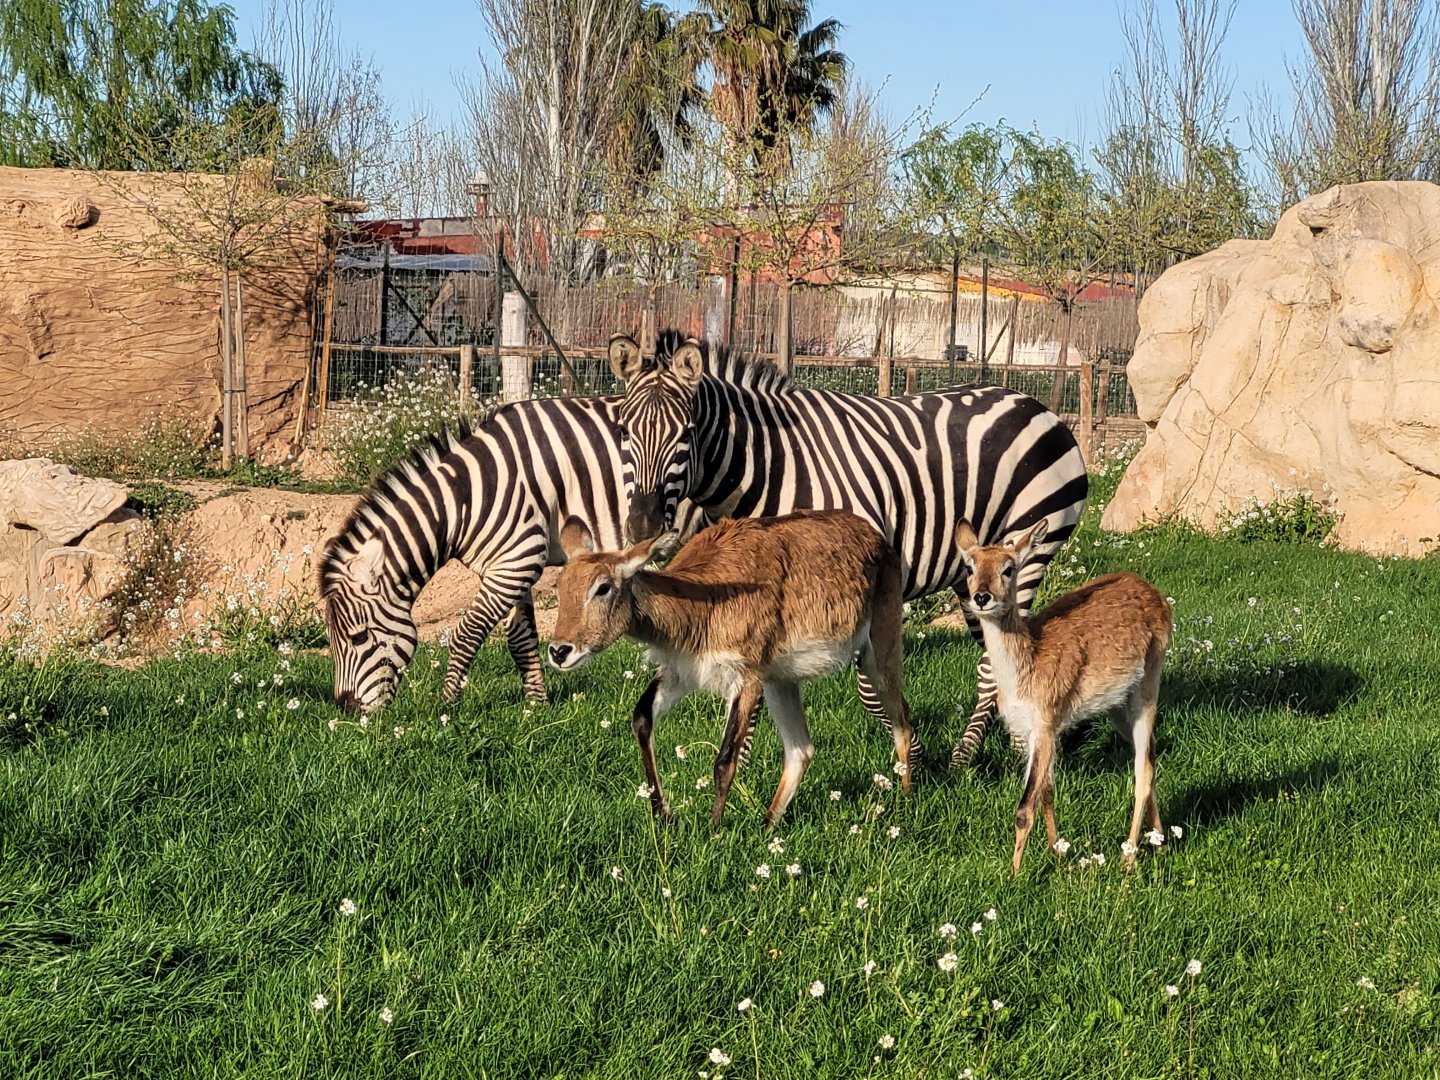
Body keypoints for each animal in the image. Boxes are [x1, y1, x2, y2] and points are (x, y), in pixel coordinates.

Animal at [319, 395, 707, 712]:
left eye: (358, 638)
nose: (346, 709)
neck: (468, 497)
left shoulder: (518, 561)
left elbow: (466, 634)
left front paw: (447, 708)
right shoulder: (507, 565)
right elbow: (521, 640)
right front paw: (537, 707)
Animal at [607, 331, 1089, 767]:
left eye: (687, 433)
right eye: (624, 432)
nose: (643, 526)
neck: (766, 465)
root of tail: (1033, 403)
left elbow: (868, 686)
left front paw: (913, 758)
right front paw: (738, 779)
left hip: (1027, 548)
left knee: (998, 660)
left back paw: (976, 757)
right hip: (971, 573)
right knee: (996, 656)